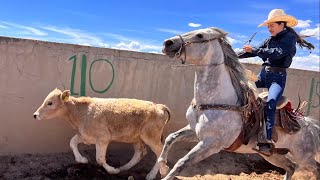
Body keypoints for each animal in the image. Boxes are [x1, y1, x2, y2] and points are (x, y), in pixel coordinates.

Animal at [33, 89, 170, 180]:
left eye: (50, 103)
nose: (35, 115)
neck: (81, 112)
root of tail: (159, 106)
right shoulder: (84, 136)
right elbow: (72, 142)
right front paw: (82, 159)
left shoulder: (103, 139)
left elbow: (99, 159)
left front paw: (112, 170)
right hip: (136, 138)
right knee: (140, 153)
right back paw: (124, 168)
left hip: (151, 137)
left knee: (160, 152)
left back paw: (158, 173)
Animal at [158, 27, 320, 180]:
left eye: (200, 35)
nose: (167, 43)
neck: (216, 101)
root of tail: (309, 126)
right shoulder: (194, 131)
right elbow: (171, 137)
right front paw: (162, 167)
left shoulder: (211, 144)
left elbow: (182, 162)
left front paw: (165, 173)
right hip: (273, 154)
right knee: (291, 167)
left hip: (303, 156)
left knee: (315, 168)